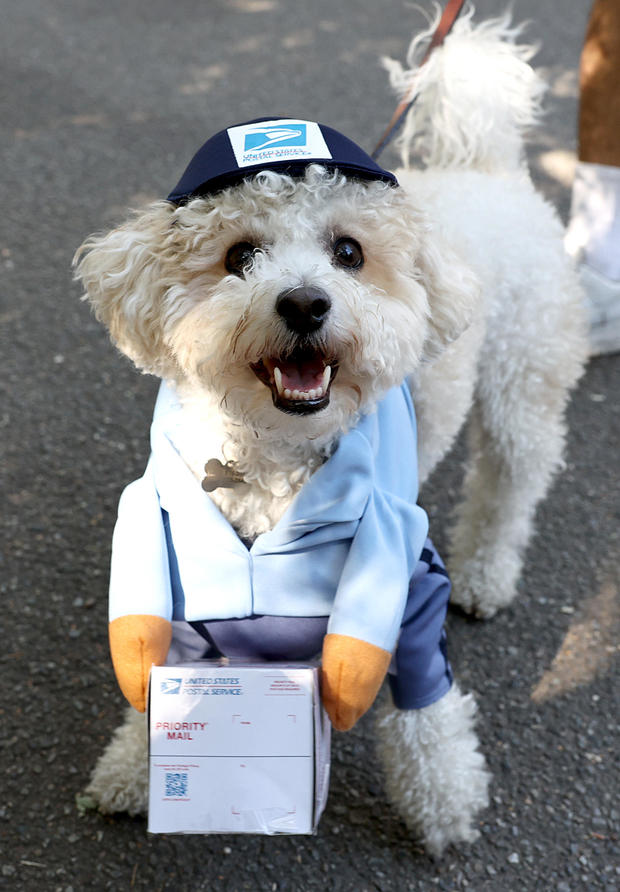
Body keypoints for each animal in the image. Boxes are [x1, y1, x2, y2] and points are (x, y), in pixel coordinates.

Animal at [74, 10, 588, 852]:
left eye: (349, 252)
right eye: (239, 255)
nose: (306, 302)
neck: (267, 460)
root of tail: (487, 167)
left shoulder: (406, 583)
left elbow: (426, 712)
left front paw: (444, 804)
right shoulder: (182, 570)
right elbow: (158, 677)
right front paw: (130, 771)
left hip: (524, 384)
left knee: (512, 484)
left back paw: (487, 574)